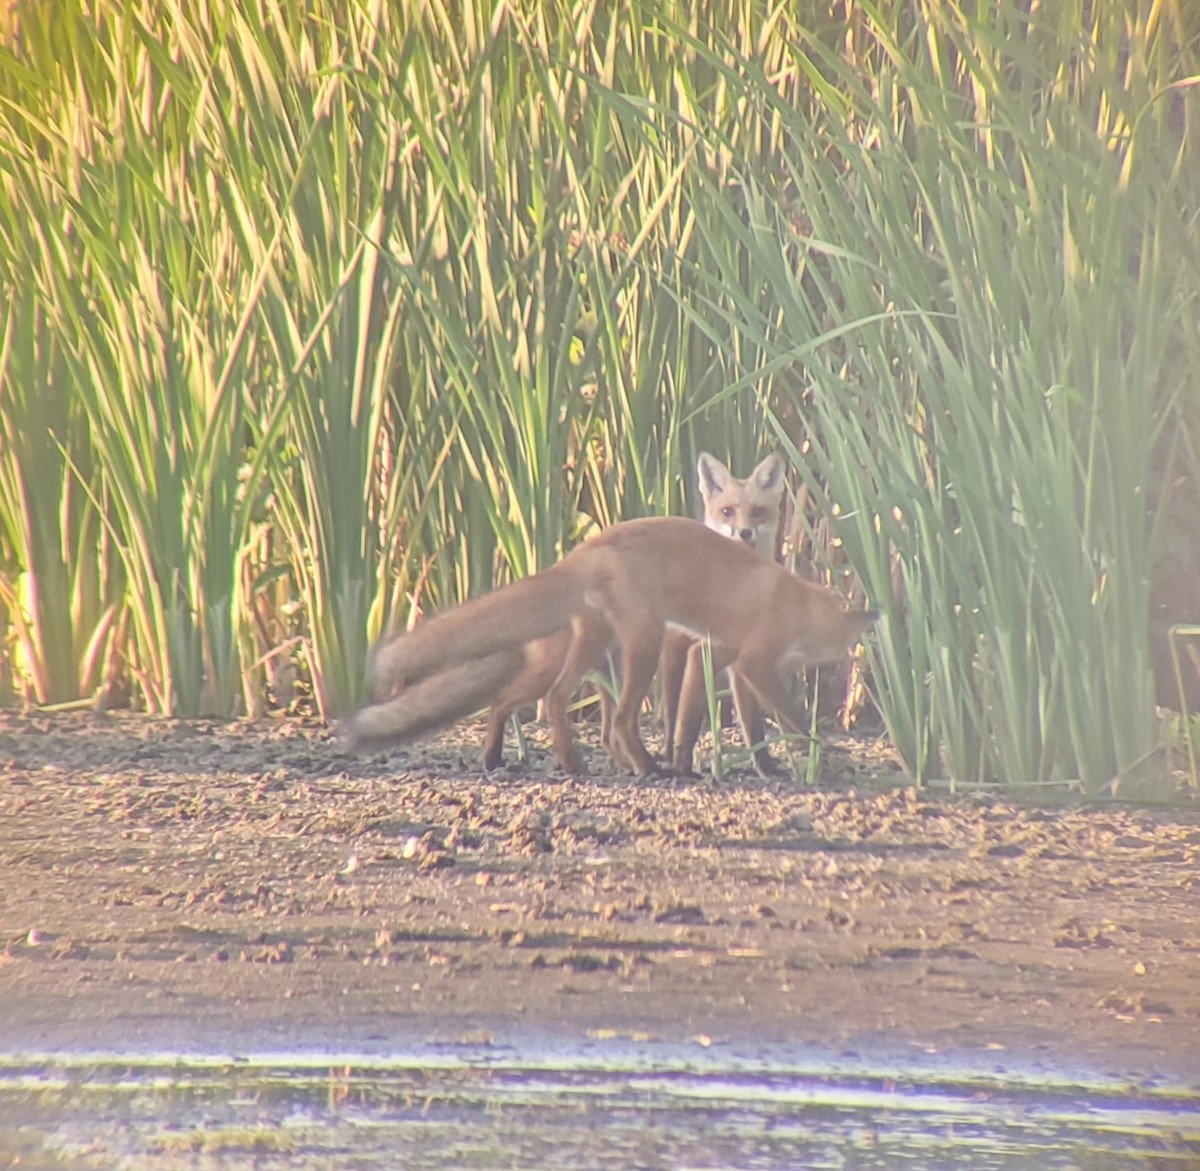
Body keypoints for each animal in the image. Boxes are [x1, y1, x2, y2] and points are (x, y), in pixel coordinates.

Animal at [346, 452, 788, 772]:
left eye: (758, 512)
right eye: (728, 511)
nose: (744, 533)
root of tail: (575, 558)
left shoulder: (738, 651)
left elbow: (752, 720)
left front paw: (766, 765)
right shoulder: (681, 645)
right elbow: (682, 714)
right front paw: (676, 757)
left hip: (606, 665)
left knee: (592, 726)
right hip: (601, 659)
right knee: (518, 702)